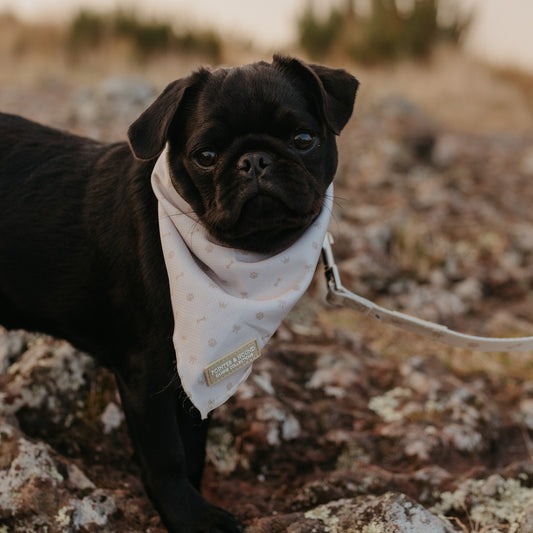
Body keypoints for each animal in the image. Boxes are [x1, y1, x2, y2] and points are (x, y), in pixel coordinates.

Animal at [1, 56, 358, 528]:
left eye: (303, 140)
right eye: (205, 157)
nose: (255, 160)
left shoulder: (191, 371)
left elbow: (194, 448)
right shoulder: (146, 372)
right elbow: (166, 455)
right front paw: (191, 516)